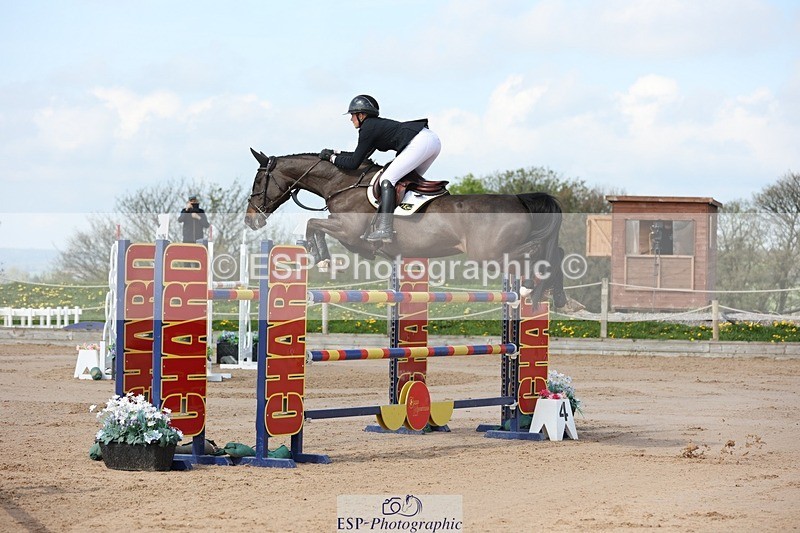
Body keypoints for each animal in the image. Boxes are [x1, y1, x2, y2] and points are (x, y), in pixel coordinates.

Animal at [245, 149, 576, 310]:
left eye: (259, 180)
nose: (251, 220)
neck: (343, 183)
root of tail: (519, 199)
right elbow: (313, 225)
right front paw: (319, 256)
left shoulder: (350, 234)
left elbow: (312, 223)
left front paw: (322, 259)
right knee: (555, 251)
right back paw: (560, 298)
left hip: (489, 253)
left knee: (540, 252)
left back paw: (530, 288)